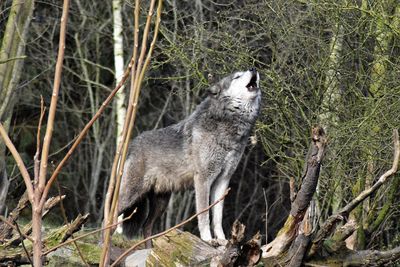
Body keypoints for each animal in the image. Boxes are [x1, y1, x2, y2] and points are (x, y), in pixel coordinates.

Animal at [117, 68, 260, 247]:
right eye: (237, 76)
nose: (254, 69)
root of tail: (133, 143)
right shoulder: (203, 180)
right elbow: (204, 215)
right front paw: (208, 239)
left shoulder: (223, 181)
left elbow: (217, 217)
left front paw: (222, 240)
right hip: (131, 196)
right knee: (108, 215)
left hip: (161, 203)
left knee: (146, 226)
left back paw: (149, 250)